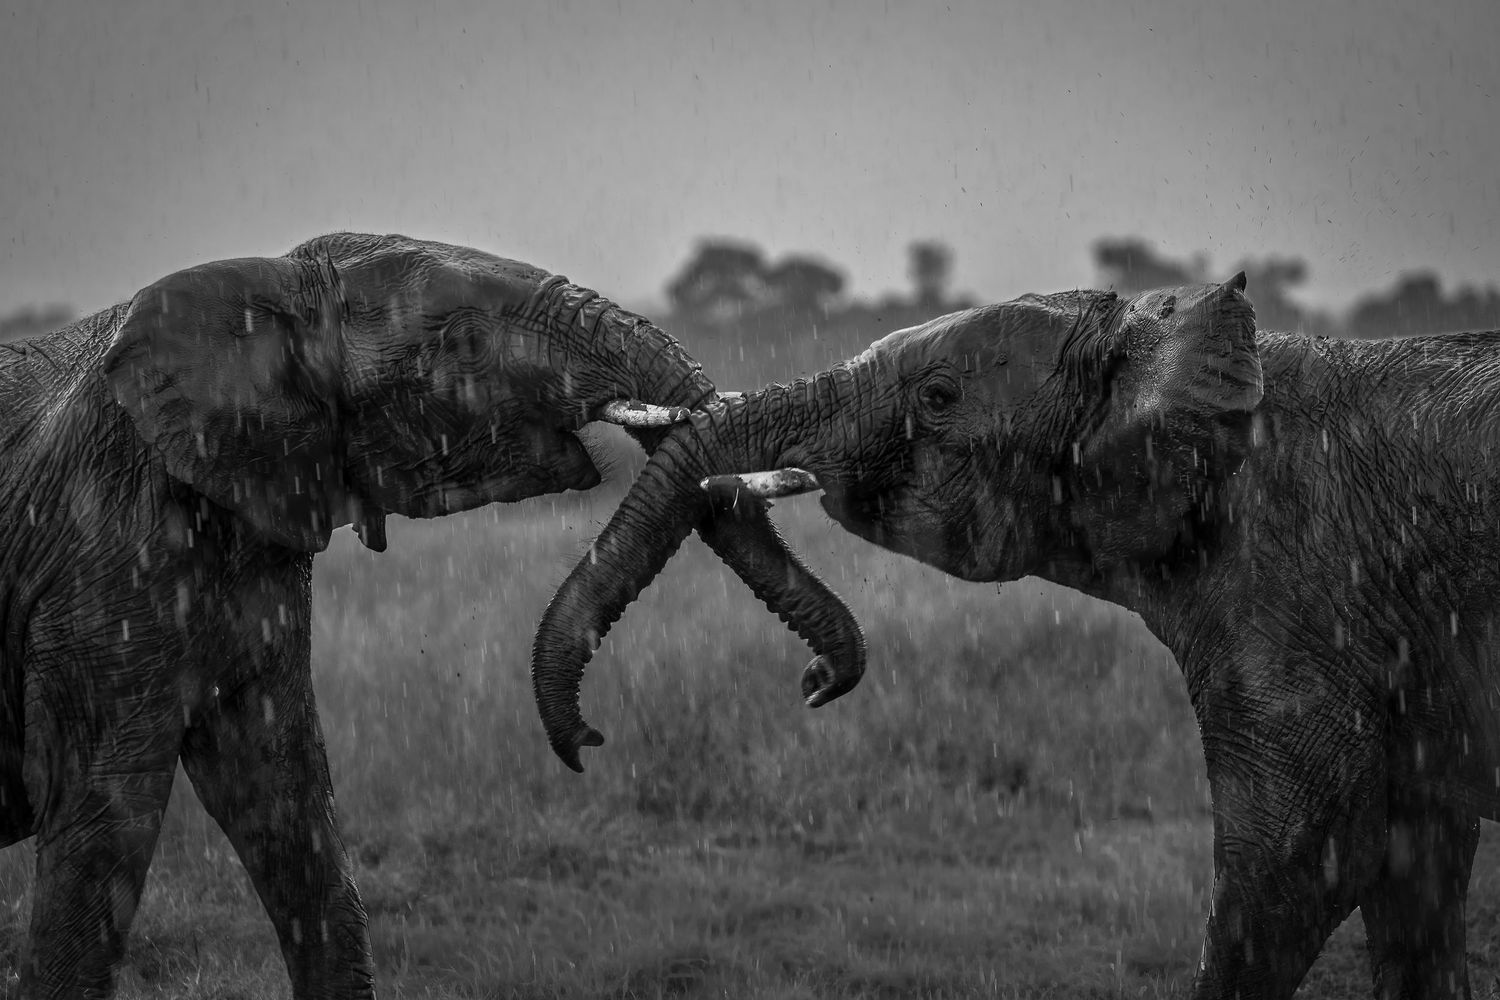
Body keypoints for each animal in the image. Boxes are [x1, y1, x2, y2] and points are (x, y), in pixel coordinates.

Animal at [0, 232, 865, 999]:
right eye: (469, 343)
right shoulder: (100, 551)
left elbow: (287, 801)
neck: (270, 283)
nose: (816, 681)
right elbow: (105, 819)